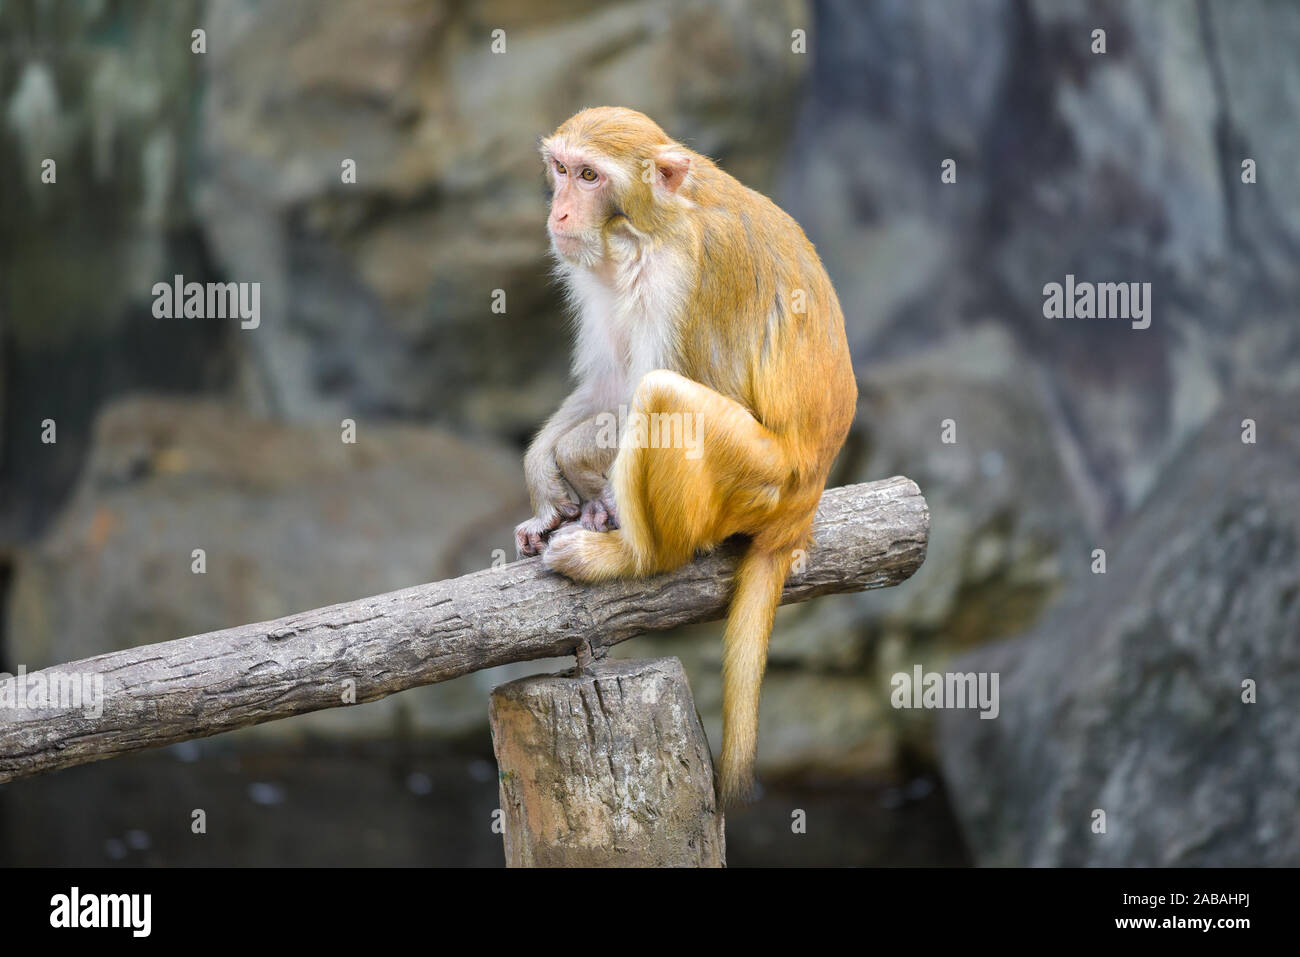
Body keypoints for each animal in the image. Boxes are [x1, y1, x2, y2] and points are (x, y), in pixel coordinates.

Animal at [514, 107, 857, 805]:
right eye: (561, 169)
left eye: (590, 176)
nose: (560, 212)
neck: (643, 230)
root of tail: (803, 508)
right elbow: (608, 383)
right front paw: (545, 478)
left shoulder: (687, 274)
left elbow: (672, 387)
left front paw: (576, 466)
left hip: (762, 484)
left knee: (665, 397)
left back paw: (630, 557)